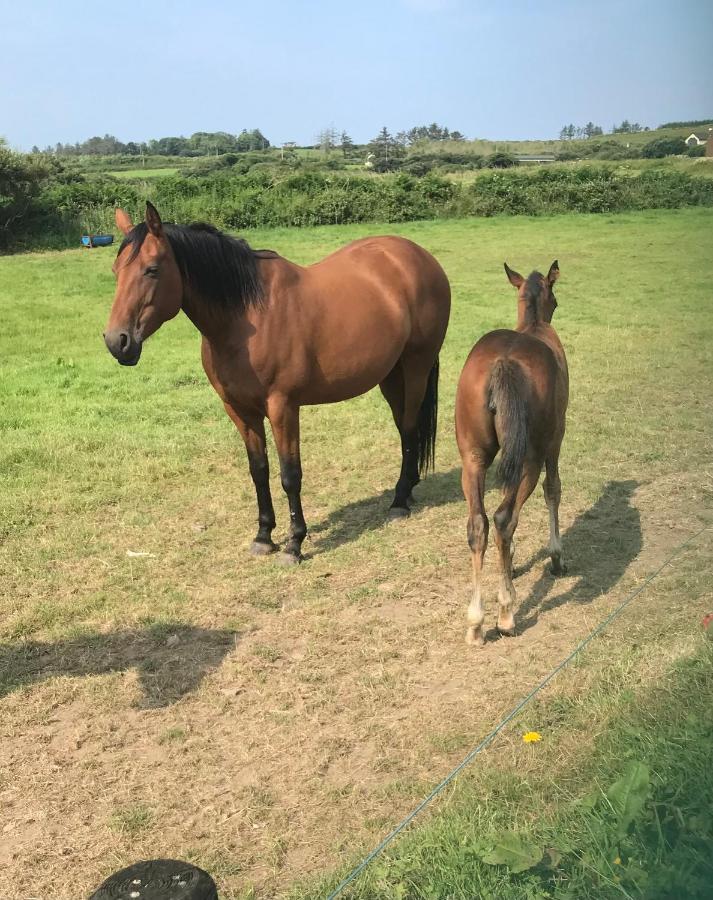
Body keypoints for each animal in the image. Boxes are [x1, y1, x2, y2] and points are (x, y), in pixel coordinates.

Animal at [104, 204, 450, 564]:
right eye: (116, 270)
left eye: (152, 270)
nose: (117, 341)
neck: (246, 318)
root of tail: (418, 256)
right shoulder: (239, 410)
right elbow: (259, 470)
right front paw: (263, 536)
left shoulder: (283, 407)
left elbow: (289, 475)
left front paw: (294, 543)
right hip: (391, 375)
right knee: (404, 428)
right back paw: (407, 491)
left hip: (416, 367)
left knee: (409, 426)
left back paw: (399, 502)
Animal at [456, 260, 568, 648]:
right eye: (556, 298)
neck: (534, 325)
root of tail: (504, 362)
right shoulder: (555, 440)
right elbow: (554, 490)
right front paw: (556, 556)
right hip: (530, 459)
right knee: (506, 518)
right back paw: (505, 614)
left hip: (472, 458)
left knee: (479, 524)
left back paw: (475, 622)